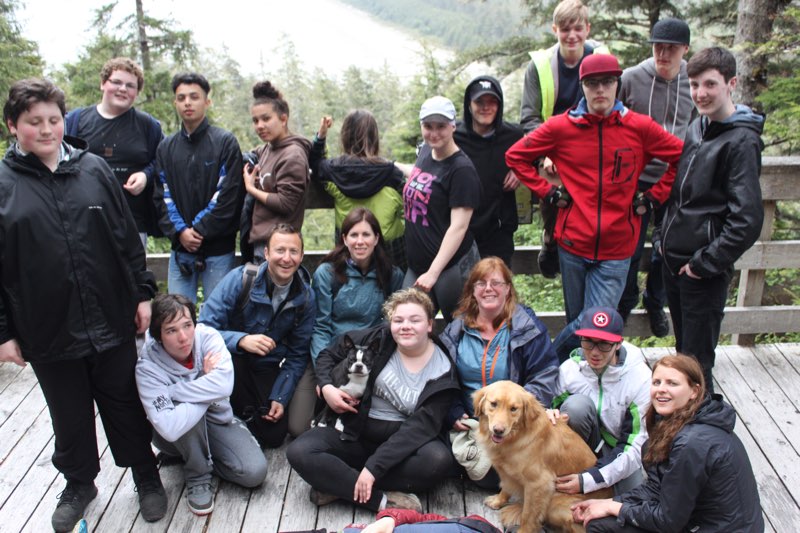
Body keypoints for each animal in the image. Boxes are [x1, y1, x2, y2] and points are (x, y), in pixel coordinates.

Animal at [476, 380, 612, 528]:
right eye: (493, 404)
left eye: (513, 409)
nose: (498, 430)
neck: (516, 437)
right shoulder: (507, 473)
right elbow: (506, 488)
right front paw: (498, 501)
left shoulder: (539, 484)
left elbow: (528, 516)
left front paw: (524, 529)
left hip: (557, 506)